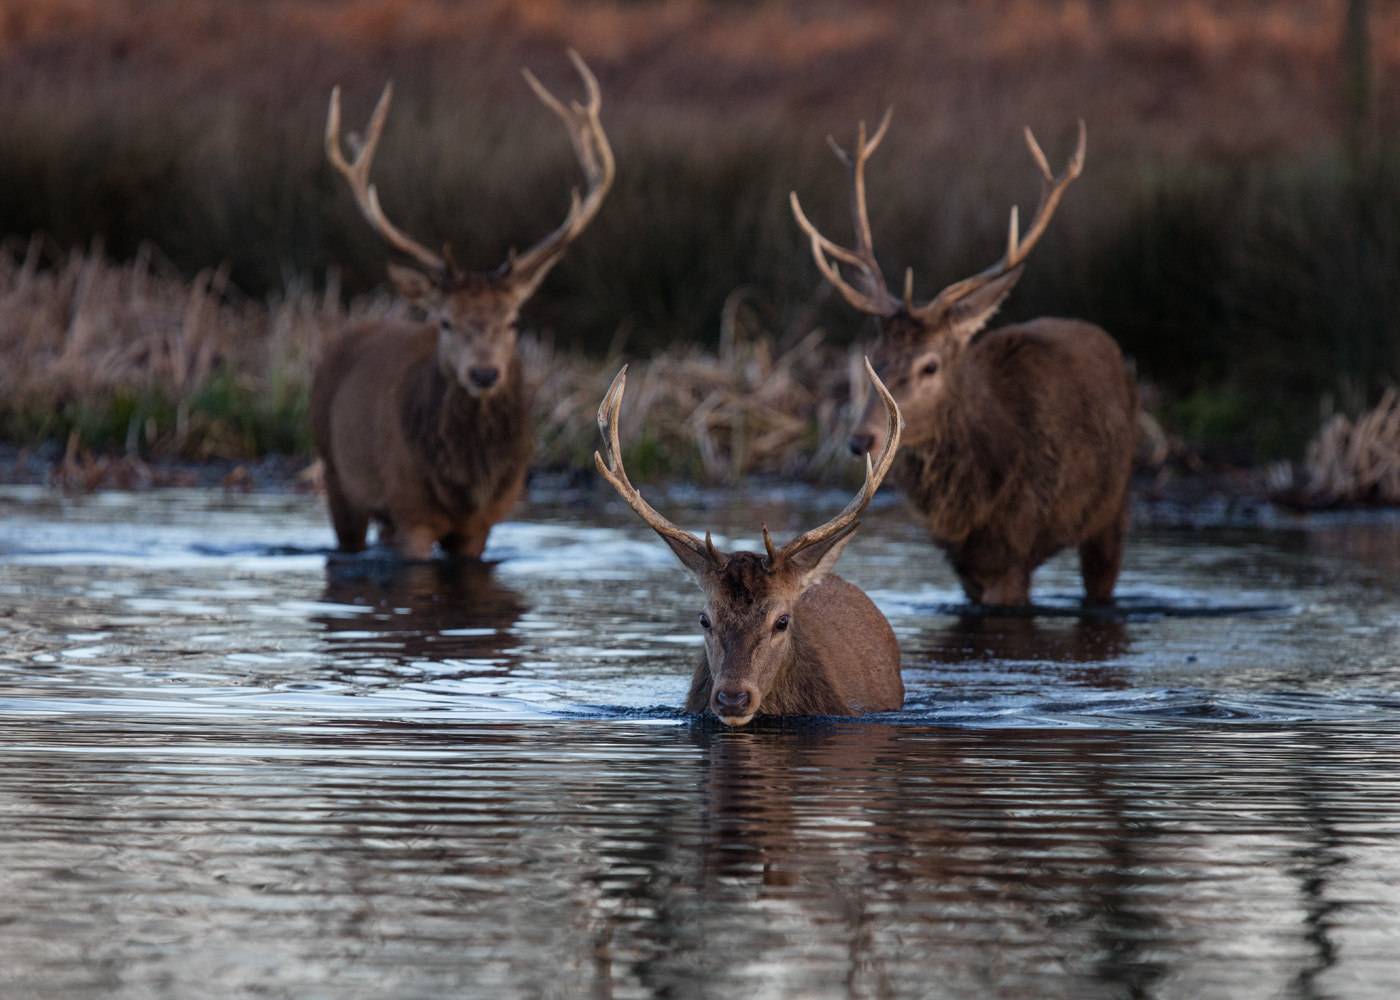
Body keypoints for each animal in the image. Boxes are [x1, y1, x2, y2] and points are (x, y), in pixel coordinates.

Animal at [317, 52, 613, 560]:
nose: (484, 373)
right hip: (336, 477)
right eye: (444, 322)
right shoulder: (410, 511)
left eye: (513, 320)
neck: (465, 490)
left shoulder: (485, 524)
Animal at [795, 112, 1131, 605]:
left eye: (930, 365)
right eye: (874, 356)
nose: (860, 440)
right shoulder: (964, 564)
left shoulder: (1014, 550)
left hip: (1113, 510)